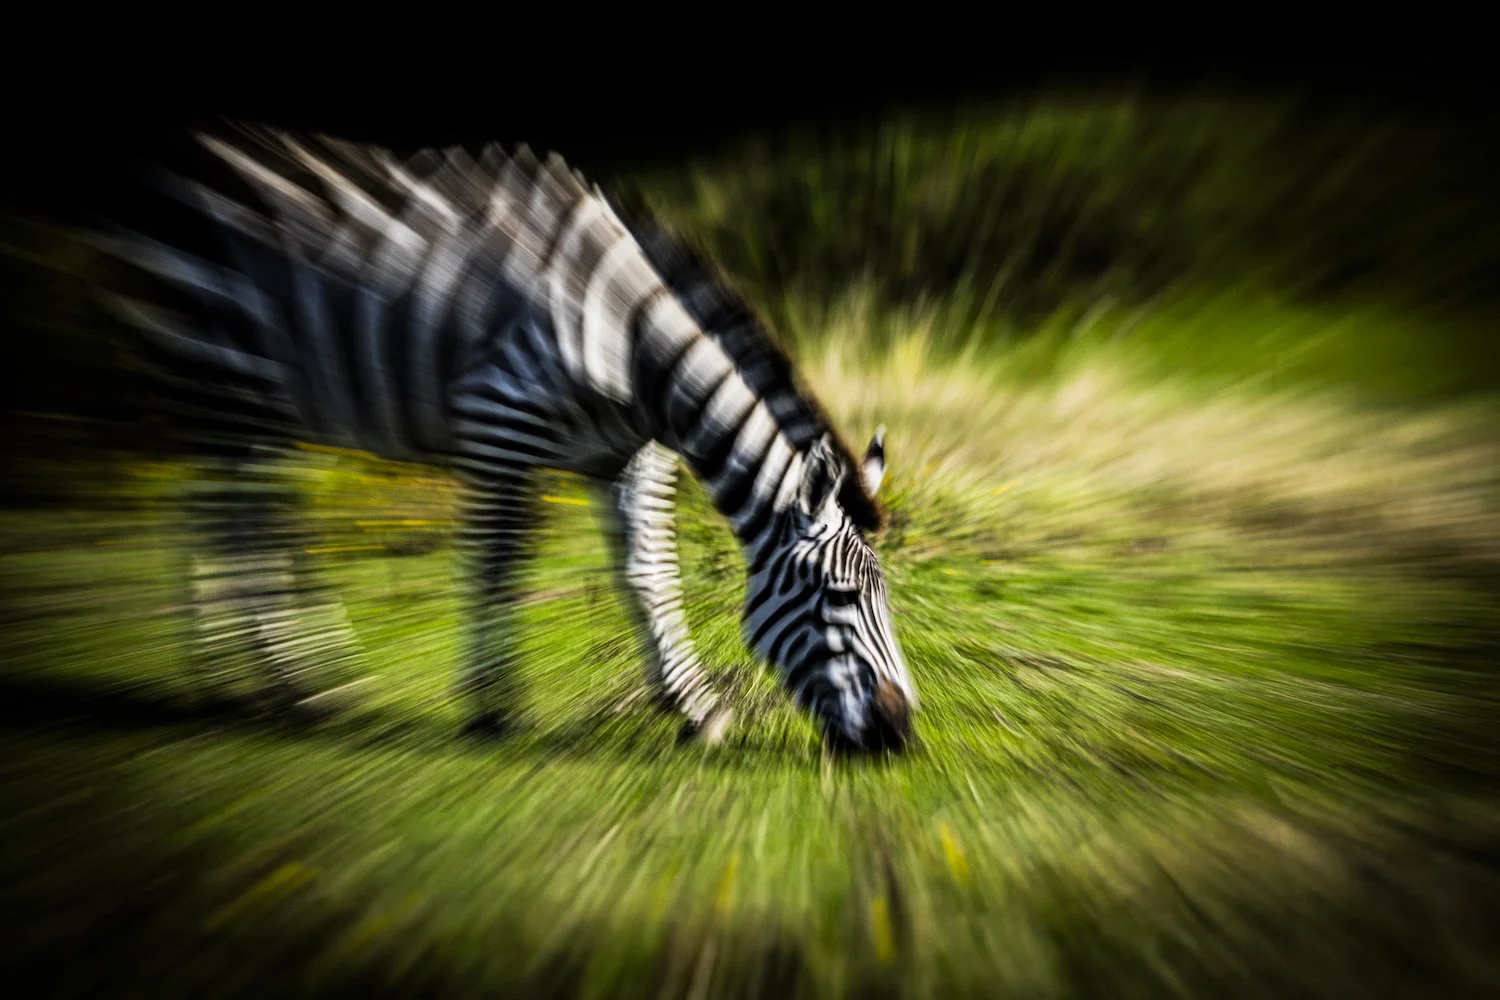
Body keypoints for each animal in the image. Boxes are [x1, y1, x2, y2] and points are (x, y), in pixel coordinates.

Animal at [85, 124, 918, 754]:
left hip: (255, 397)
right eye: (841, 596)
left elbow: (650, 576)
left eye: (883, 598)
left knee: (232, 515)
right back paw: (264, 677)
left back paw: (266, 678)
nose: (901, 734)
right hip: (218, 362)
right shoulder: (500, 417)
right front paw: (490, 706)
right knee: (227, 515)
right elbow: (496, 565)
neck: (634, 348)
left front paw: (696, 707)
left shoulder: (626, 457)